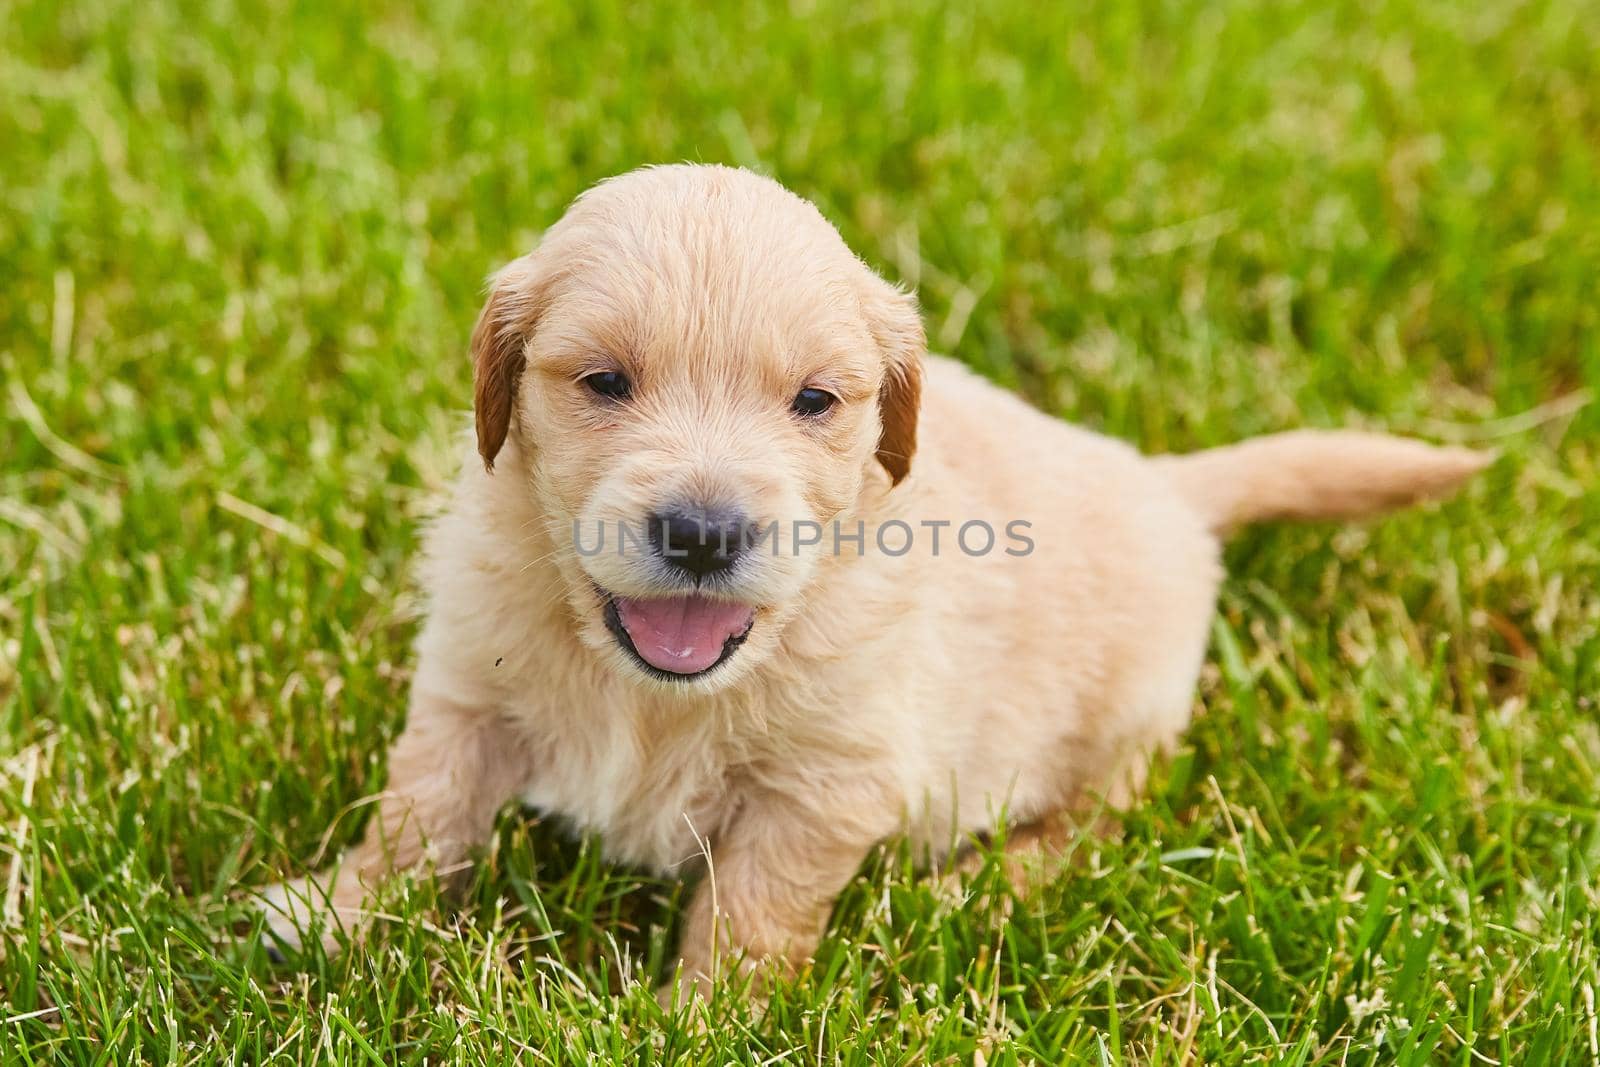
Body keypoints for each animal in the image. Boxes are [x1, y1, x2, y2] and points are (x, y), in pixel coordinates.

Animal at [259, 163, 1484, 998]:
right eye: (603, 381)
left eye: (814, 399)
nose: (702, 532)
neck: (653, 692)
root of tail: (1169, 486)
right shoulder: (469, 685)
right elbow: (421, 810)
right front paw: (333, 912)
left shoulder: (829, 781)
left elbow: (755, 908)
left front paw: (705, 1019)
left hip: (1127, 719)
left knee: (1095, 819)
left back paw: (975, 888)